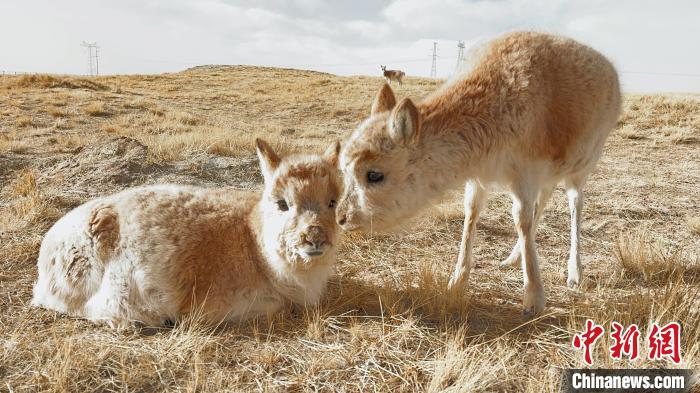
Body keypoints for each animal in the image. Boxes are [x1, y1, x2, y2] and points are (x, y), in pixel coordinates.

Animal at [31, 138, 344, 328]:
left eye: (333, 202)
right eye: (281, 204)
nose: (315, 238)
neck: (252, 240)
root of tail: (47, 252)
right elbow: (278, 307)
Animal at [336, 32, 620, 316]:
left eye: (374, 175)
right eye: (344, 170)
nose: (341, 218)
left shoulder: (526, 170)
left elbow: (522, 220)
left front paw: (534, 298)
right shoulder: (479, 175)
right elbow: (472, 214)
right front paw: (457, 281)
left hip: (583, 164)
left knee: (575, 203)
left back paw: (575, 271)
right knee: (546, 197)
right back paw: (513, 258)